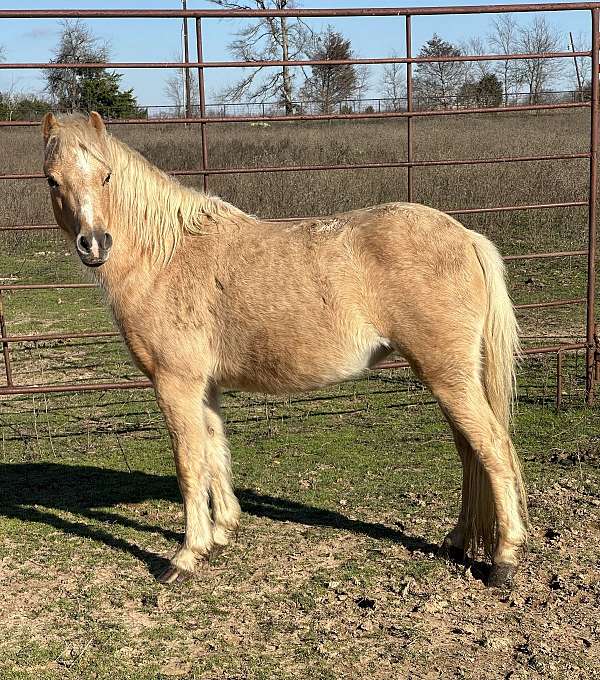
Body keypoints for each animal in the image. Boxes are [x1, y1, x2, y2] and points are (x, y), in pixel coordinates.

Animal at [42, 111, 528, 584]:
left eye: (106, 176)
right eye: (52, 180)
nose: (94, 244)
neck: (166, 256)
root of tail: (466, 236)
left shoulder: (175, 383)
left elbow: (189, 464)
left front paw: (185, 556)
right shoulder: (205, 386)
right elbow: (214, 451)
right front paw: (221, 534)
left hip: (448, 376)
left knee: (493, 449)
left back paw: (504, 560)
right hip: (452, 378)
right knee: (470, 454)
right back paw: (457, 542)